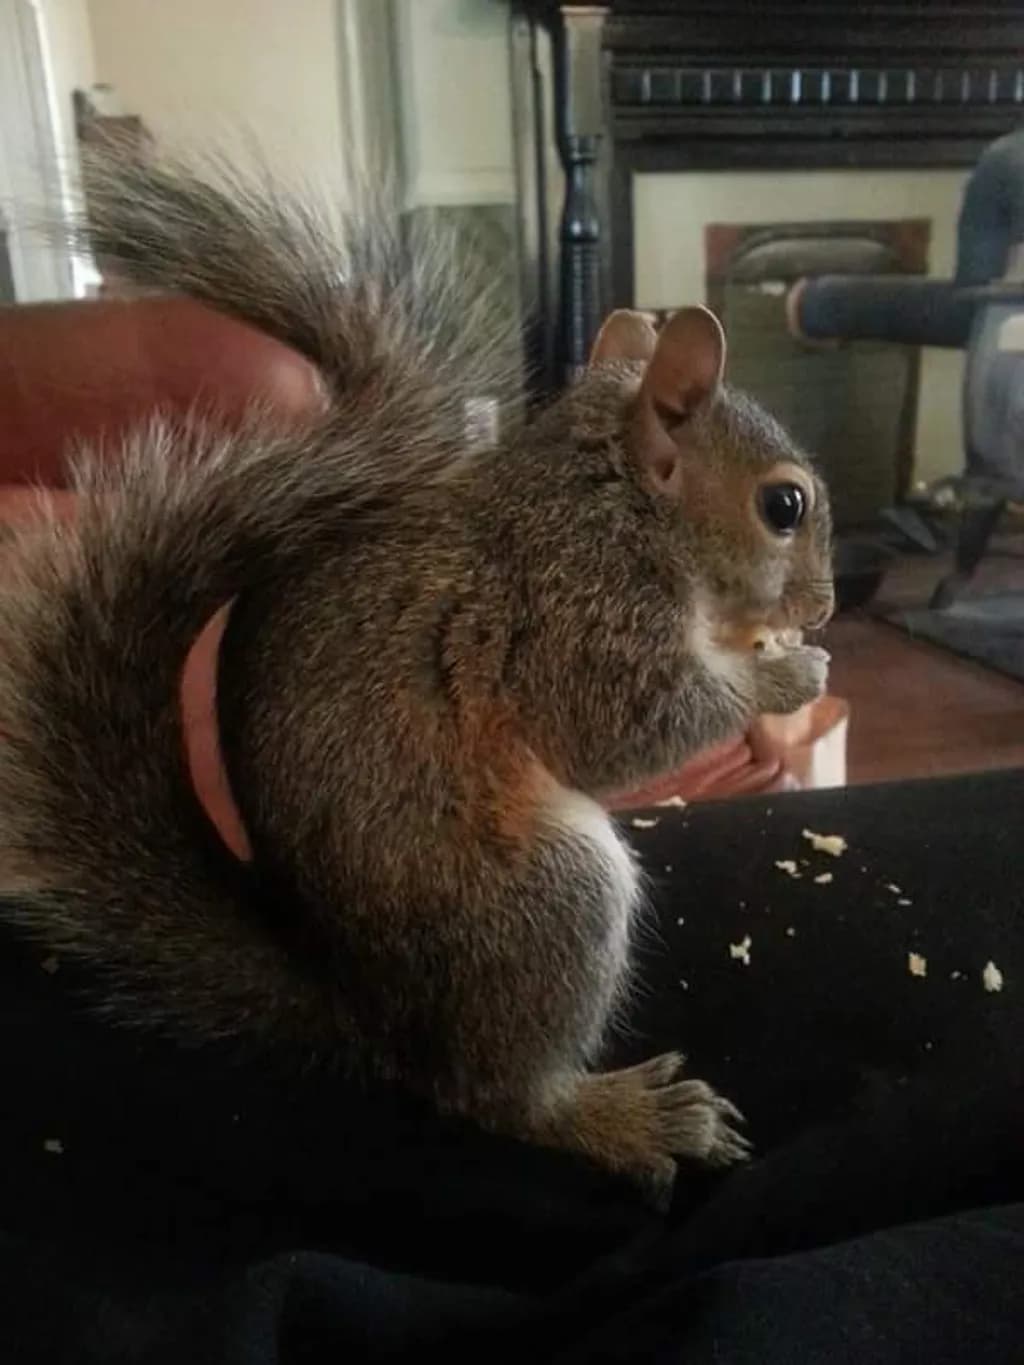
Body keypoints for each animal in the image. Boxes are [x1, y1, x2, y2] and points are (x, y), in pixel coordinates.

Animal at [0, 145, 833, 1201]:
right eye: (784, 505)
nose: (826, 605)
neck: (613, 507)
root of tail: (374, 1014)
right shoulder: (574, 613)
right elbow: (611, 733)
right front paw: (785, 677)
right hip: (547, 898)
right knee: (497, 1097)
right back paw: (625, 1116)